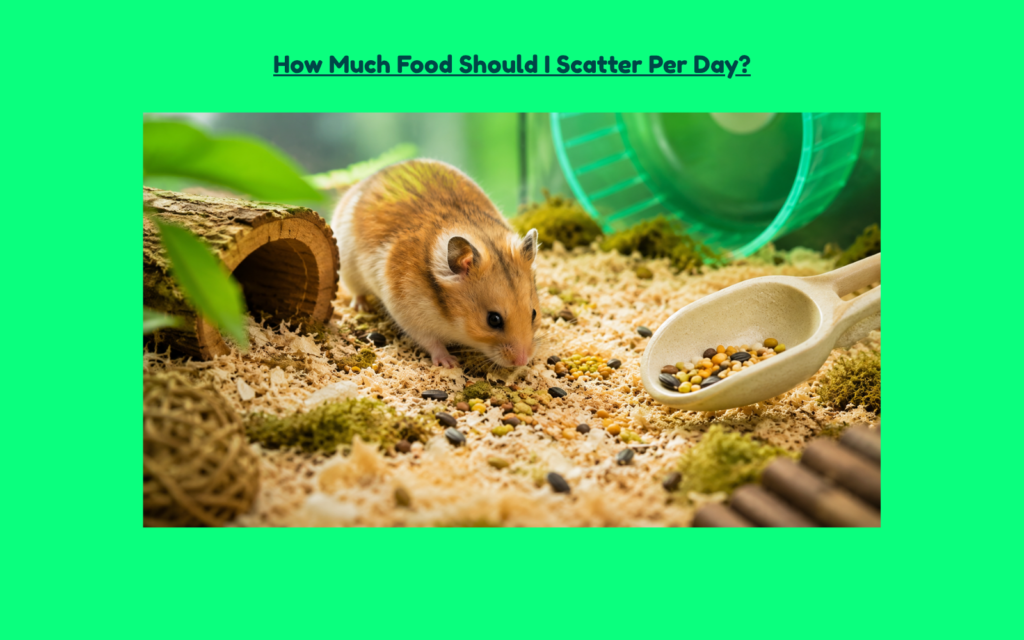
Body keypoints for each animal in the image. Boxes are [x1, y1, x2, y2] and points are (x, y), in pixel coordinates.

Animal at [331, 159, 540, 369]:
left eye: (534, 313)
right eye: (493, 320)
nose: (522, 361)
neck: (448, 316)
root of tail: (369, 178)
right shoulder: (410, 315)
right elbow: (432, 342)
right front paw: (450, 363)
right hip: (348, 269)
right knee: (357, 292)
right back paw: (361, 307)